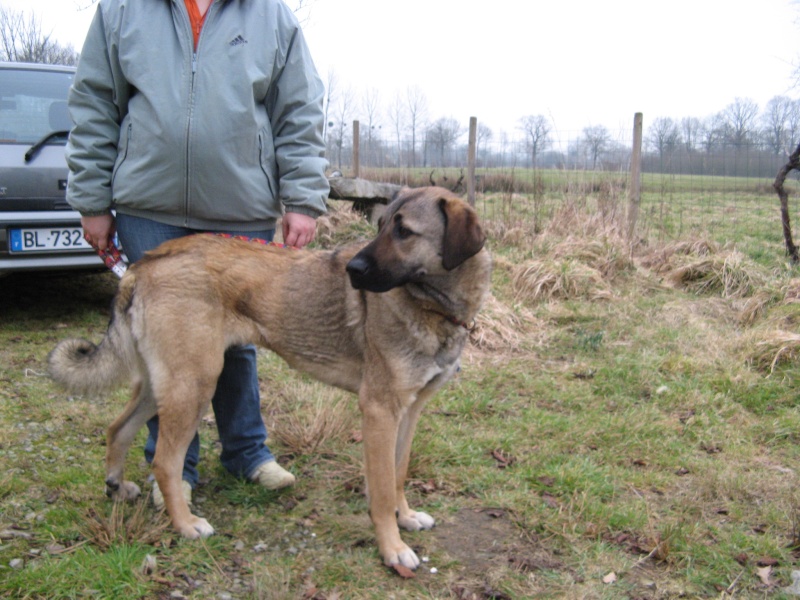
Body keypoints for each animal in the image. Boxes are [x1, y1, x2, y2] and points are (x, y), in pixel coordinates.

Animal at [50, 185, 490, 568]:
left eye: (403, 231)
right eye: (382, 226)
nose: (351, 269)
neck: (433, 308)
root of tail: (143, 264)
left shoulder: (409, 412)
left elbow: (398, 473)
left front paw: (406, 516)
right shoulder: (380, 412)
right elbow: (381, 490)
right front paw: (392, 548)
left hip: (163, 385)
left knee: (118, 428)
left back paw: (116, 486)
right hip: (193, 385)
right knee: (164, 462)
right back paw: (186, 524)